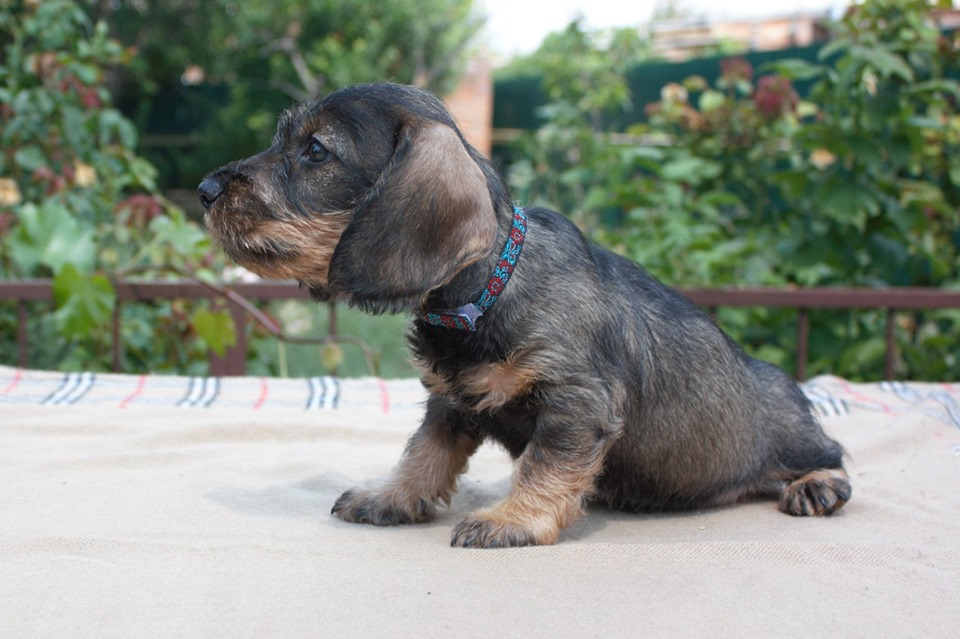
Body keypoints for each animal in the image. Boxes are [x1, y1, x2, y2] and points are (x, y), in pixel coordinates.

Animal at [199, 81, 852, 552]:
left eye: (315, 151)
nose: (205, 188)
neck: (491, 289)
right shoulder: (450, 401)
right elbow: (423, 455)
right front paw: (391, 497)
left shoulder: (576, 402)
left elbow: (544, 465)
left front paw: (513, 520)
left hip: (792, 430)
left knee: (830, 454)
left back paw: (815, 485)